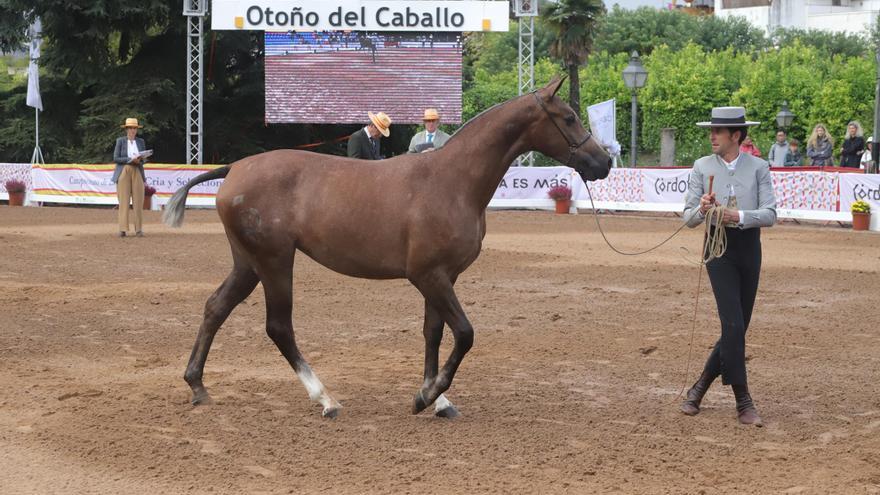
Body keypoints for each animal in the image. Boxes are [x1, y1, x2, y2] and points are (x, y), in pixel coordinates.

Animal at [163, 77, 604, 418]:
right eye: (569, 117)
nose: (603, 162)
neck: (452, 180)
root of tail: (235, 168)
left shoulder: (441, 277)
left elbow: (433, 334)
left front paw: (437, 399)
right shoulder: (428, 276)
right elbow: (464, 333)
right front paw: (427, 396)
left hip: (248, 263)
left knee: (216, 308)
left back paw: (197, 386)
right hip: (274, 262)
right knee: (279, 327)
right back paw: (325, 399)